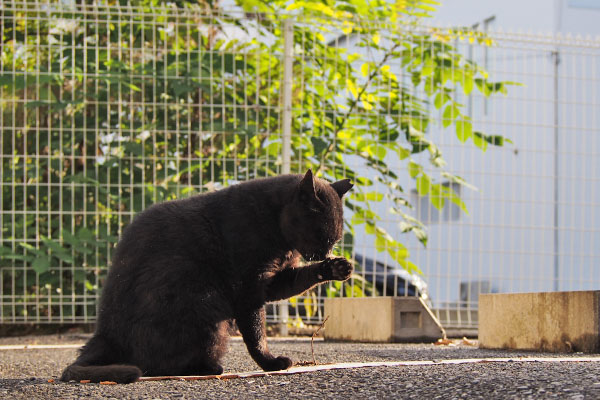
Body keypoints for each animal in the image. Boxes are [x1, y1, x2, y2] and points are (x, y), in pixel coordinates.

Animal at [60, 168, 352, 382]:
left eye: (335, 240)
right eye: (322, 235)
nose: (326, 252)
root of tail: (104, 333)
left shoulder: (272, 281)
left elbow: (297, 281)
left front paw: (336, 268)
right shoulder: (248, 287)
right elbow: (256, 334)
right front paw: (271, 363)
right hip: (204, 306)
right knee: (156, 365)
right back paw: (208, 368)